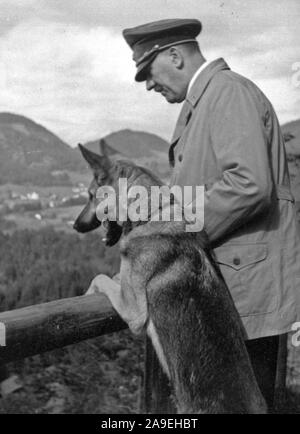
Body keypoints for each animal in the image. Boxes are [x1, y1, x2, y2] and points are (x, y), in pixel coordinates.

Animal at [74, 142, 266, 414]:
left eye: (91, 195)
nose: (75, 226)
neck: (152, 213)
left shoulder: (132, 311)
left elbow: (99, 278)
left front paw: (88, 291)